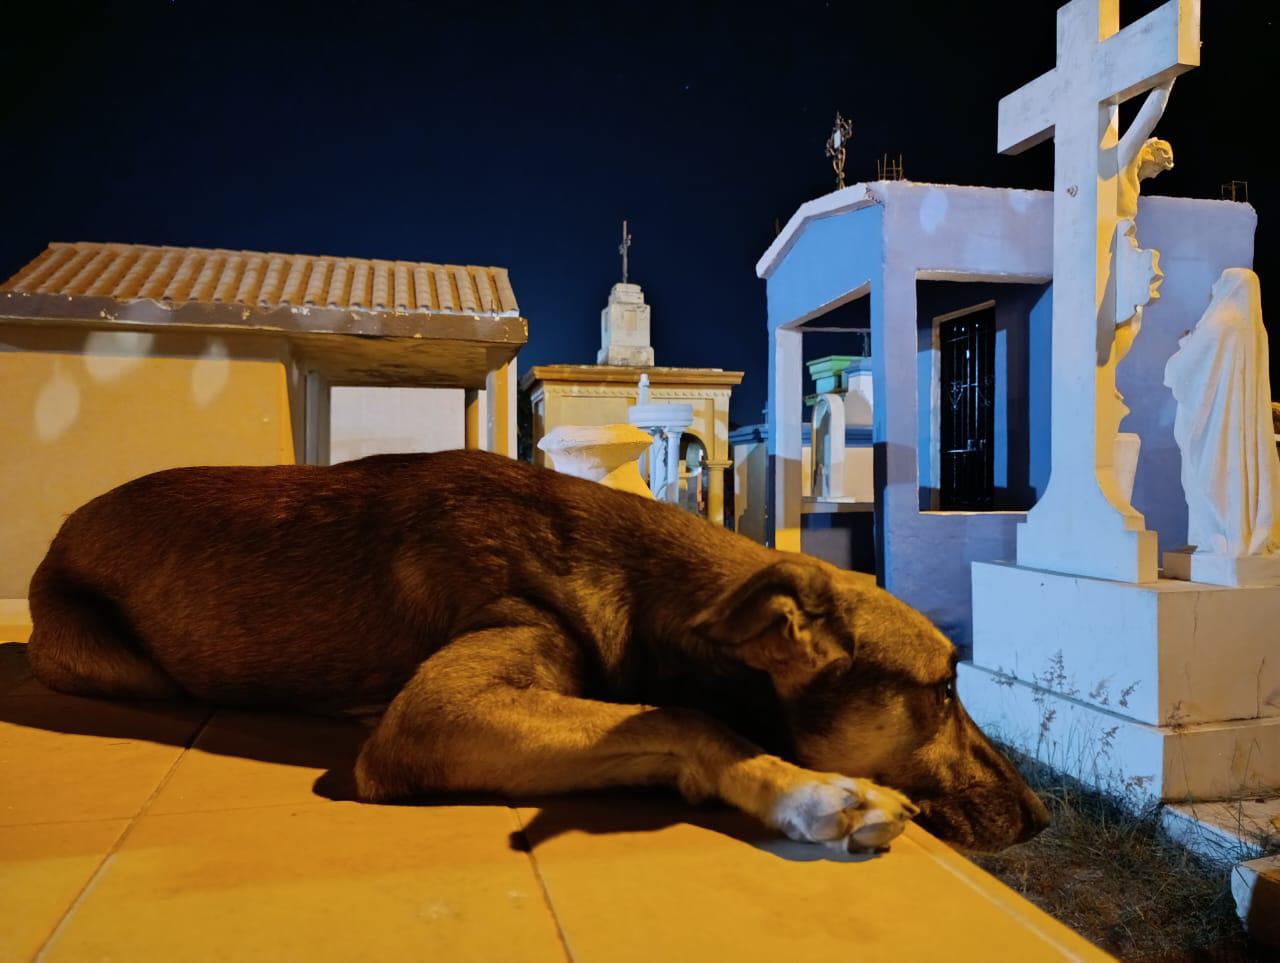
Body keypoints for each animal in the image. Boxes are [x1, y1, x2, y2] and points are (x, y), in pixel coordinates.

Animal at [24, 450, 1044, 850]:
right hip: (118, 660)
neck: (637, 582)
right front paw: (812, 790)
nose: (1043, 818)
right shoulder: (432, 711)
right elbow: (686, 715)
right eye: (943, 690)